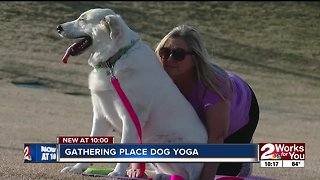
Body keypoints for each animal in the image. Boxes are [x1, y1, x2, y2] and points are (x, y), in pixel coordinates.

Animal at [57, 8, 208, 180]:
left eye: (82, 19)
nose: (58, 27)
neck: (114, 61)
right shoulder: (101, 116)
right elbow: (90, 145)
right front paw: (77, 168)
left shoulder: (130, 119)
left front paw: (117, 173)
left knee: (186, 176)